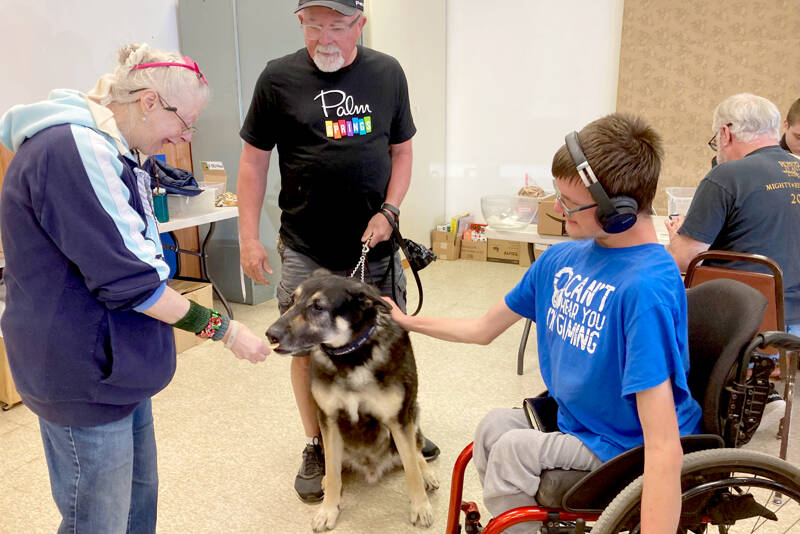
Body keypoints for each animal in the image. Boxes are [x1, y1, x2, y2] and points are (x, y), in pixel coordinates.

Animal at [264, 272, 438, 532]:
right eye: (293, 300)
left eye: (318, 307)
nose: (270, 335)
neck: (351, 354)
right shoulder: (329, 418)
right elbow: (334, 472)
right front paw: (328, 510)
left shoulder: (398, 420)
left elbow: (411, 471)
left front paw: (420, 507)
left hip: (412, 414)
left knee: (416, 454)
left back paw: (427, 474)